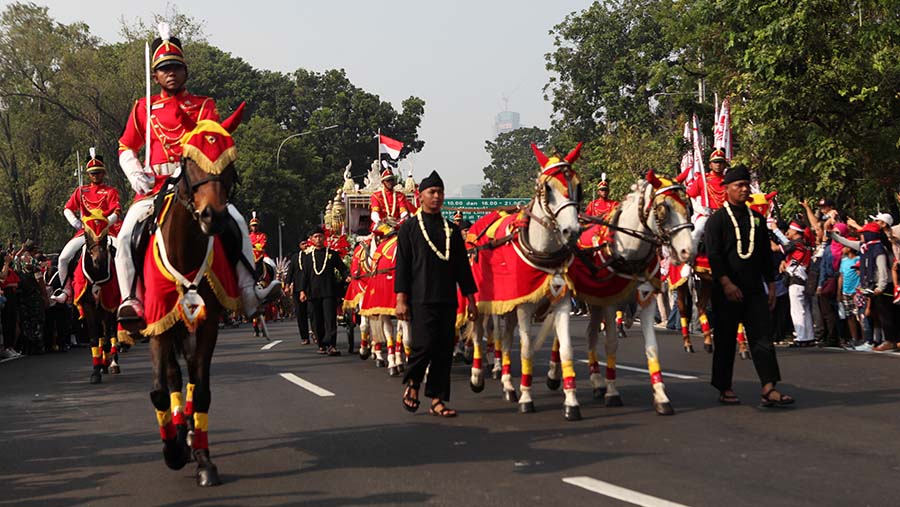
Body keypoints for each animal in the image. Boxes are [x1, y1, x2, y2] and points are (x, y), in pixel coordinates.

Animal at [556, 173, 696, 414]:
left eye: (688, 206)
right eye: (663, 208)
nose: (687, 251)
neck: (629, 253)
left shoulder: (646, 300)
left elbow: (652, 347)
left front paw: (661, 396)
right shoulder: (610, 302)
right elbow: (611, 343)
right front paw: (613, 392)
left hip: (594, 302)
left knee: (590, 334)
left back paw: (596, 381)